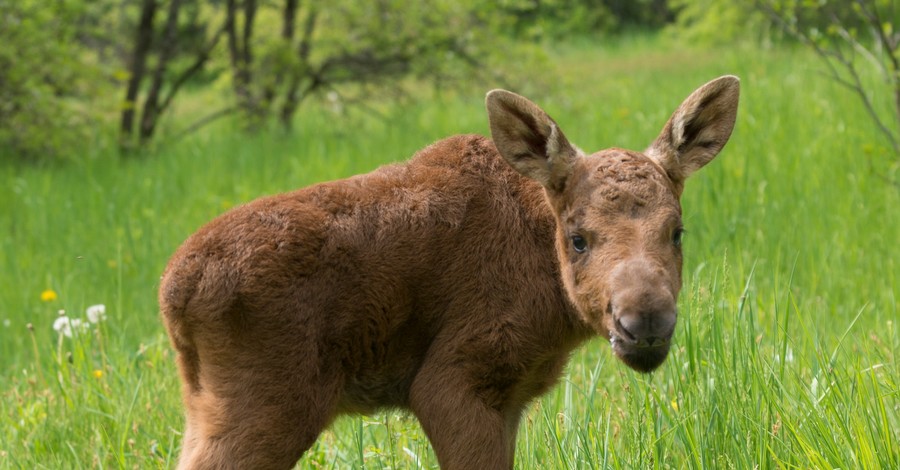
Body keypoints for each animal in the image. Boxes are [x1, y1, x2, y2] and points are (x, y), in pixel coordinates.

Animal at [160, 75, 740, 468]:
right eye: (578, 238)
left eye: (676, 231)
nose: (645, 322)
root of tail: (172, 295)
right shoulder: (456, 379)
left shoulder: (508, 399)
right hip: (269, 405)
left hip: (206, 408)